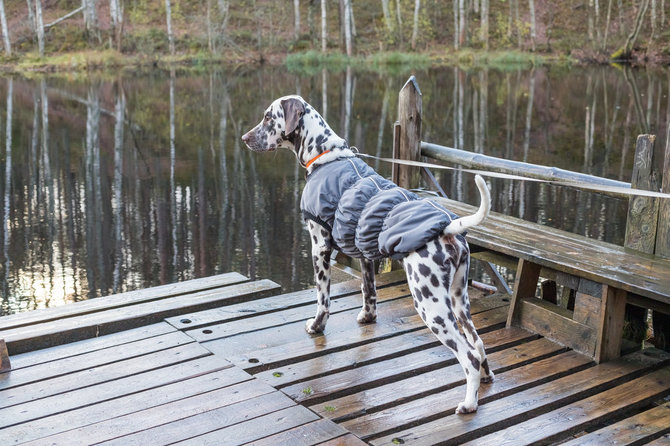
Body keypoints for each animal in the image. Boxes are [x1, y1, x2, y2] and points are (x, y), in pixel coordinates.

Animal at [244, 95, 496, 414]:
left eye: (268, 117)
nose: (244, 138)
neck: (325, 157)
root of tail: (449, 226)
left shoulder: (319, 247)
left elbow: (323, 300)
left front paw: (316, 326)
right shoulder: (362, 250)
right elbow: (369, 291)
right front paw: (367, 317)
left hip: (431, 306)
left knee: (469, 356)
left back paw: (468, 403)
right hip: (459, 300)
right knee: (479, 344)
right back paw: (486, 380)